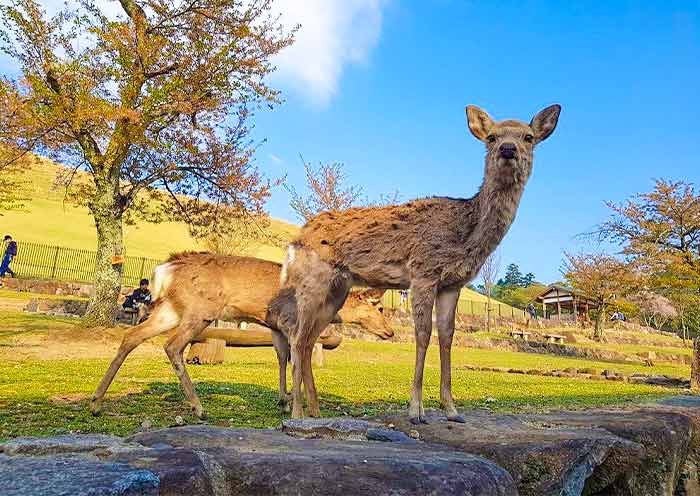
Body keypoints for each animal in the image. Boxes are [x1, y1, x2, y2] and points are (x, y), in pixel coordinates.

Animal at [89, 252, 392, 418]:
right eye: (378, 307)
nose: (389, 331)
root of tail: (164, 270)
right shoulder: (298, 327)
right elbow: (302, 365)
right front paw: (308, 410)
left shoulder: (277, 328)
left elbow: (283, 360)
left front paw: (284, 401)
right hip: (200, 310)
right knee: (173, 346)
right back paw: (199, 408)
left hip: (171, 309)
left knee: (132, 335)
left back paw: (95, 403)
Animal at [282, 103, 560, 422]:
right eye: (491, 137)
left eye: (528, 137)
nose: (507, 149)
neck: (465, 235)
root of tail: (295, 240)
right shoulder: (424, 271)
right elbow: (423, 334)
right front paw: (416, 409)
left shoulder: (453, 284)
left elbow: (448, 336)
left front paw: (451, 409)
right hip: (312, 281)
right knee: (297, 337)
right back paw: (297, 412)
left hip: (337, 291)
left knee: (309, 340)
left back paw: (315, 410)